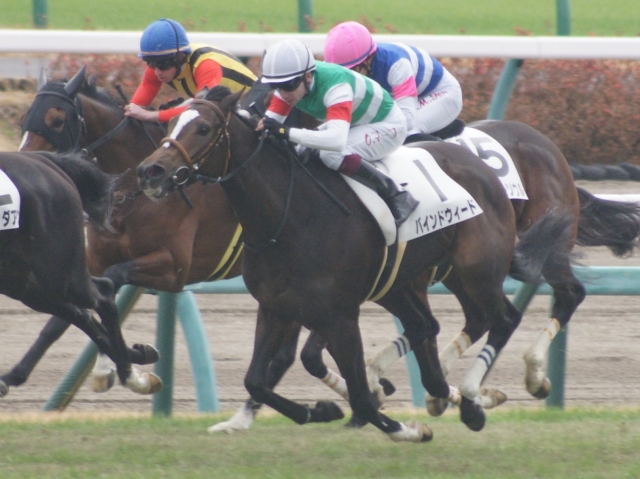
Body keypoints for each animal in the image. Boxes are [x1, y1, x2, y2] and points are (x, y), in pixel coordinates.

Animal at [0, 150, 160, 397]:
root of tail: (43, 160)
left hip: (58, 274)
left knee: (102, 294)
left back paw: (131, 376)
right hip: (20, 279)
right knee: (78, 313)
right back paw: (138, 356)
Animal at [136, 87, 572, 441]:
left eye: (204, 128)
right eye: (170, 122)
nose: (150, 170)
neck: (290, 215)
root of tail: (483, 165)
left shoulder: (340, 316)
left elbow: (359, 396)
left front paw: (406, 429)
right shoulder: (275, 307)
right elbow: (256, 380)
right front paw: (319, 410)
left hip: (477, 270)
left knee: (505, 318)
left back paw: (471, 397)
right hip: (403, 283)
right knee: (427, 329)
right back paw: (458, 396)